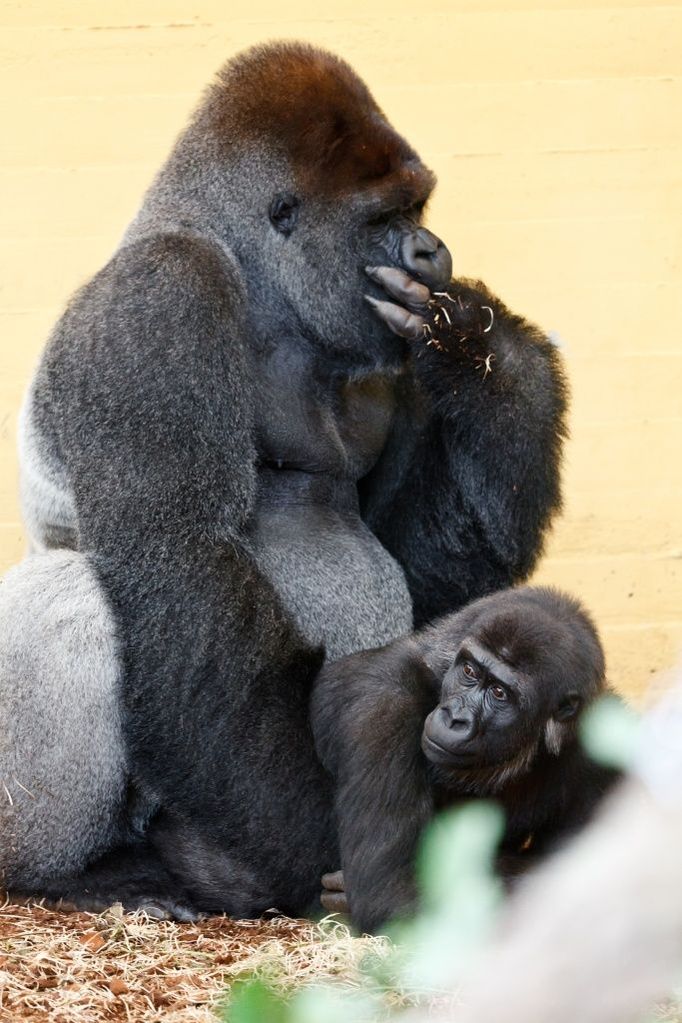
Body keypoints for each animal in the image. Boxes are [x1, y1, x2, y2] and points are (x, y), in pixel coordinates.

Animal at [1, 41, 564, 920]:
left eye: (421, 207)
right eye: (383, 218)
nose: (433, 250)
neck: (263, 289)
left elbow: (425, 562)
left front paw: (488, 356)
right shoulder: (164, 297)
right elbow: (186, 560)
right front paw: (320, 834)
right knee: (77, 600)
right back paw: (67, 873)